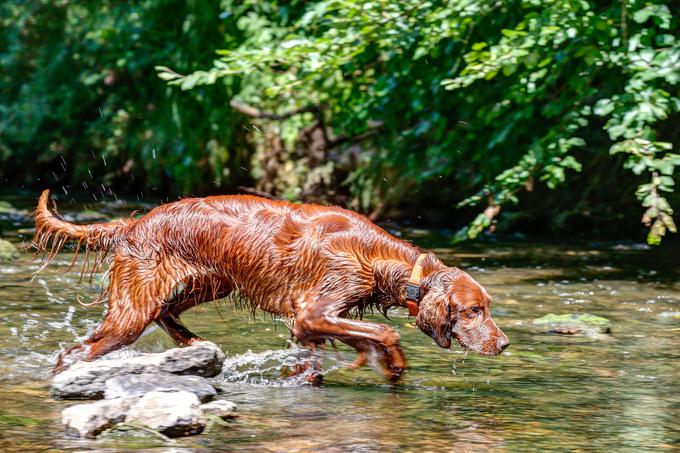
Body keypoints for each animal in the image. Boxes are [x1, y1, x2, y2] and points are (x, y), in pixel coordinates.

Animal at [34, 189, 508, 384]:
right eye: (473, 311)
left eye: (486, 306)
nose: (503, 345)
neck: (376, 257)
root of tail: (134, 224)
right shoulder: (313, 312)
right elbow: (383, 331)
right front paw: (392, 364)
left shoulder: (309, 327)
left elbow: (313, 365)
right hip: (132, 311)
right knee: (75, 352)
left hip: (212, 283)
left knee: (168, 313)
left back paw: (194, 344)